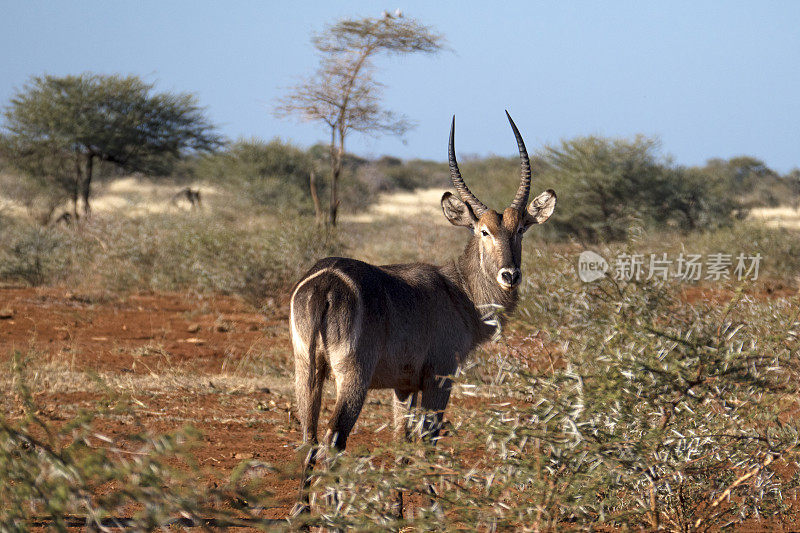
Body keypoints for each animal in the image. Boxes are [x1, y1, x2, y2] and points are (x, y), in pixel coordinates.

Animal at [290, 111, 556, 494]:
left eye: (520, 229)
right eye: (484, 231)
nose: (510, 275)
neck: (458, 289)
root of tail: (325, 281)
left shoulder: (403, 385)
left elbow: (401, 441)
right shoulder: (439, 377)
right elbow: (428, 439)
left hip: (306, 369)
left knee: (308, 437)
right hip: (352, 377)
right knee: (333, 440)